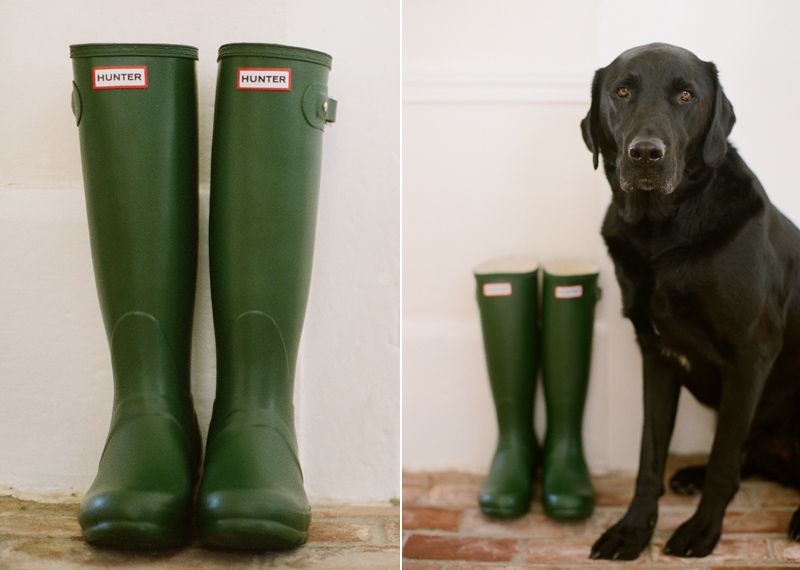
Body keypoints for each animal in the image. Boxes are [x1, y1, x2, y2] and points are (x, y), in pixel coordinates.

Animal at [580, 42, 800, 556]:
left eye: (686, 95)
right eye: (622, 91)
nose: (645, 154)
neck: (662, 233)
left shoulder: (751, 355)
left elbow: (724, 458)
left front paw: (702, 530)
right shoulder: (656, 354)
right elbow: (649, 456)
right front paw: (632, 530)